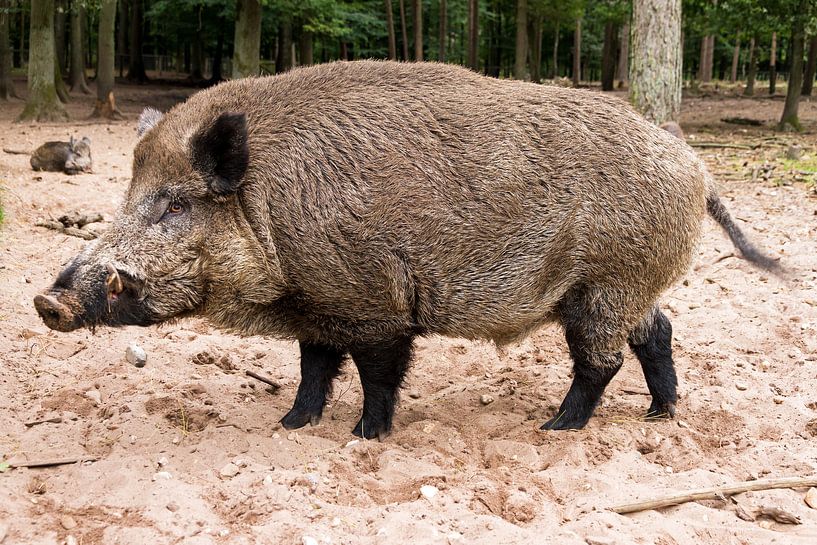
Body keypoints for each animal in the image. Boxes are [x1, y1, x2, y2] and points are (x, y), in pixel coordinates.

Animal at [33, 61, 781, 439]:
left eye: (176, 204)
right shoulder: (318, 309)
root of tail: (696, 167)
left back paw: (554, 428)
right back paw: (659, 413)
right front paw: (290, 424)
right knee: (659, 332)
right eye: (132, 192)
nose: (47, 300)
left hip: (605, 284)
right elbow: (313, 369)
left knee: (601, 361)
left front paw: (365, 436)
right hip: (624, 288)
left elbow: (378, 374)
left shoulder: (376, 303)